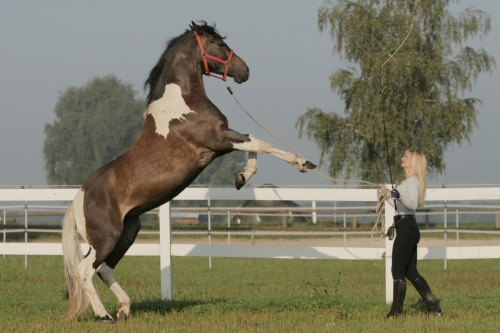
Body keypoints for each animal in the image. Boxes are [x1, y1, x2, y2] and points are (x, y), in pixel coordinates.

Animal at [60, 21, 314, 322]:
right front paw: (302, 162)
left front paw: (241, 177)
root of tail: (78, 198)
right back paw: (103, 315)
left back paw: (124, 308)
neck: (180, 104)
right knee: (85, 271)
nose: (245, 71)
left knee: (104, 269)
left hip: (128, 231)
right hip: (106, 237)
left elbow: (254, 144)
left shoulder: (223, 143)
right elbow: (262, 143)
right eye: (219, 43)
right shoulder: (219, 139)